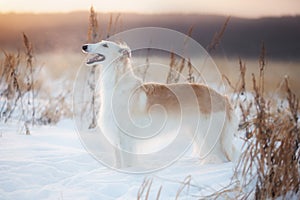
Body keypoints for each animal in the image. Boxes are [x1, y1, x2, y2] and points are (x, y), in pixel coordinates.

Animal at [82, 40, 239, 167]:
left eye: (105, 45)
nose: (84, 46)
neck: (117, 85)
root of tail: (223, 97)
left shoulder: (126, 138)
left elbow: (127, 163)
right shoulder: (116, 137)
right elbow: (119, 162)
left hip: (210, 136)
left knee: (223, 158)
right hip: (201, 134)